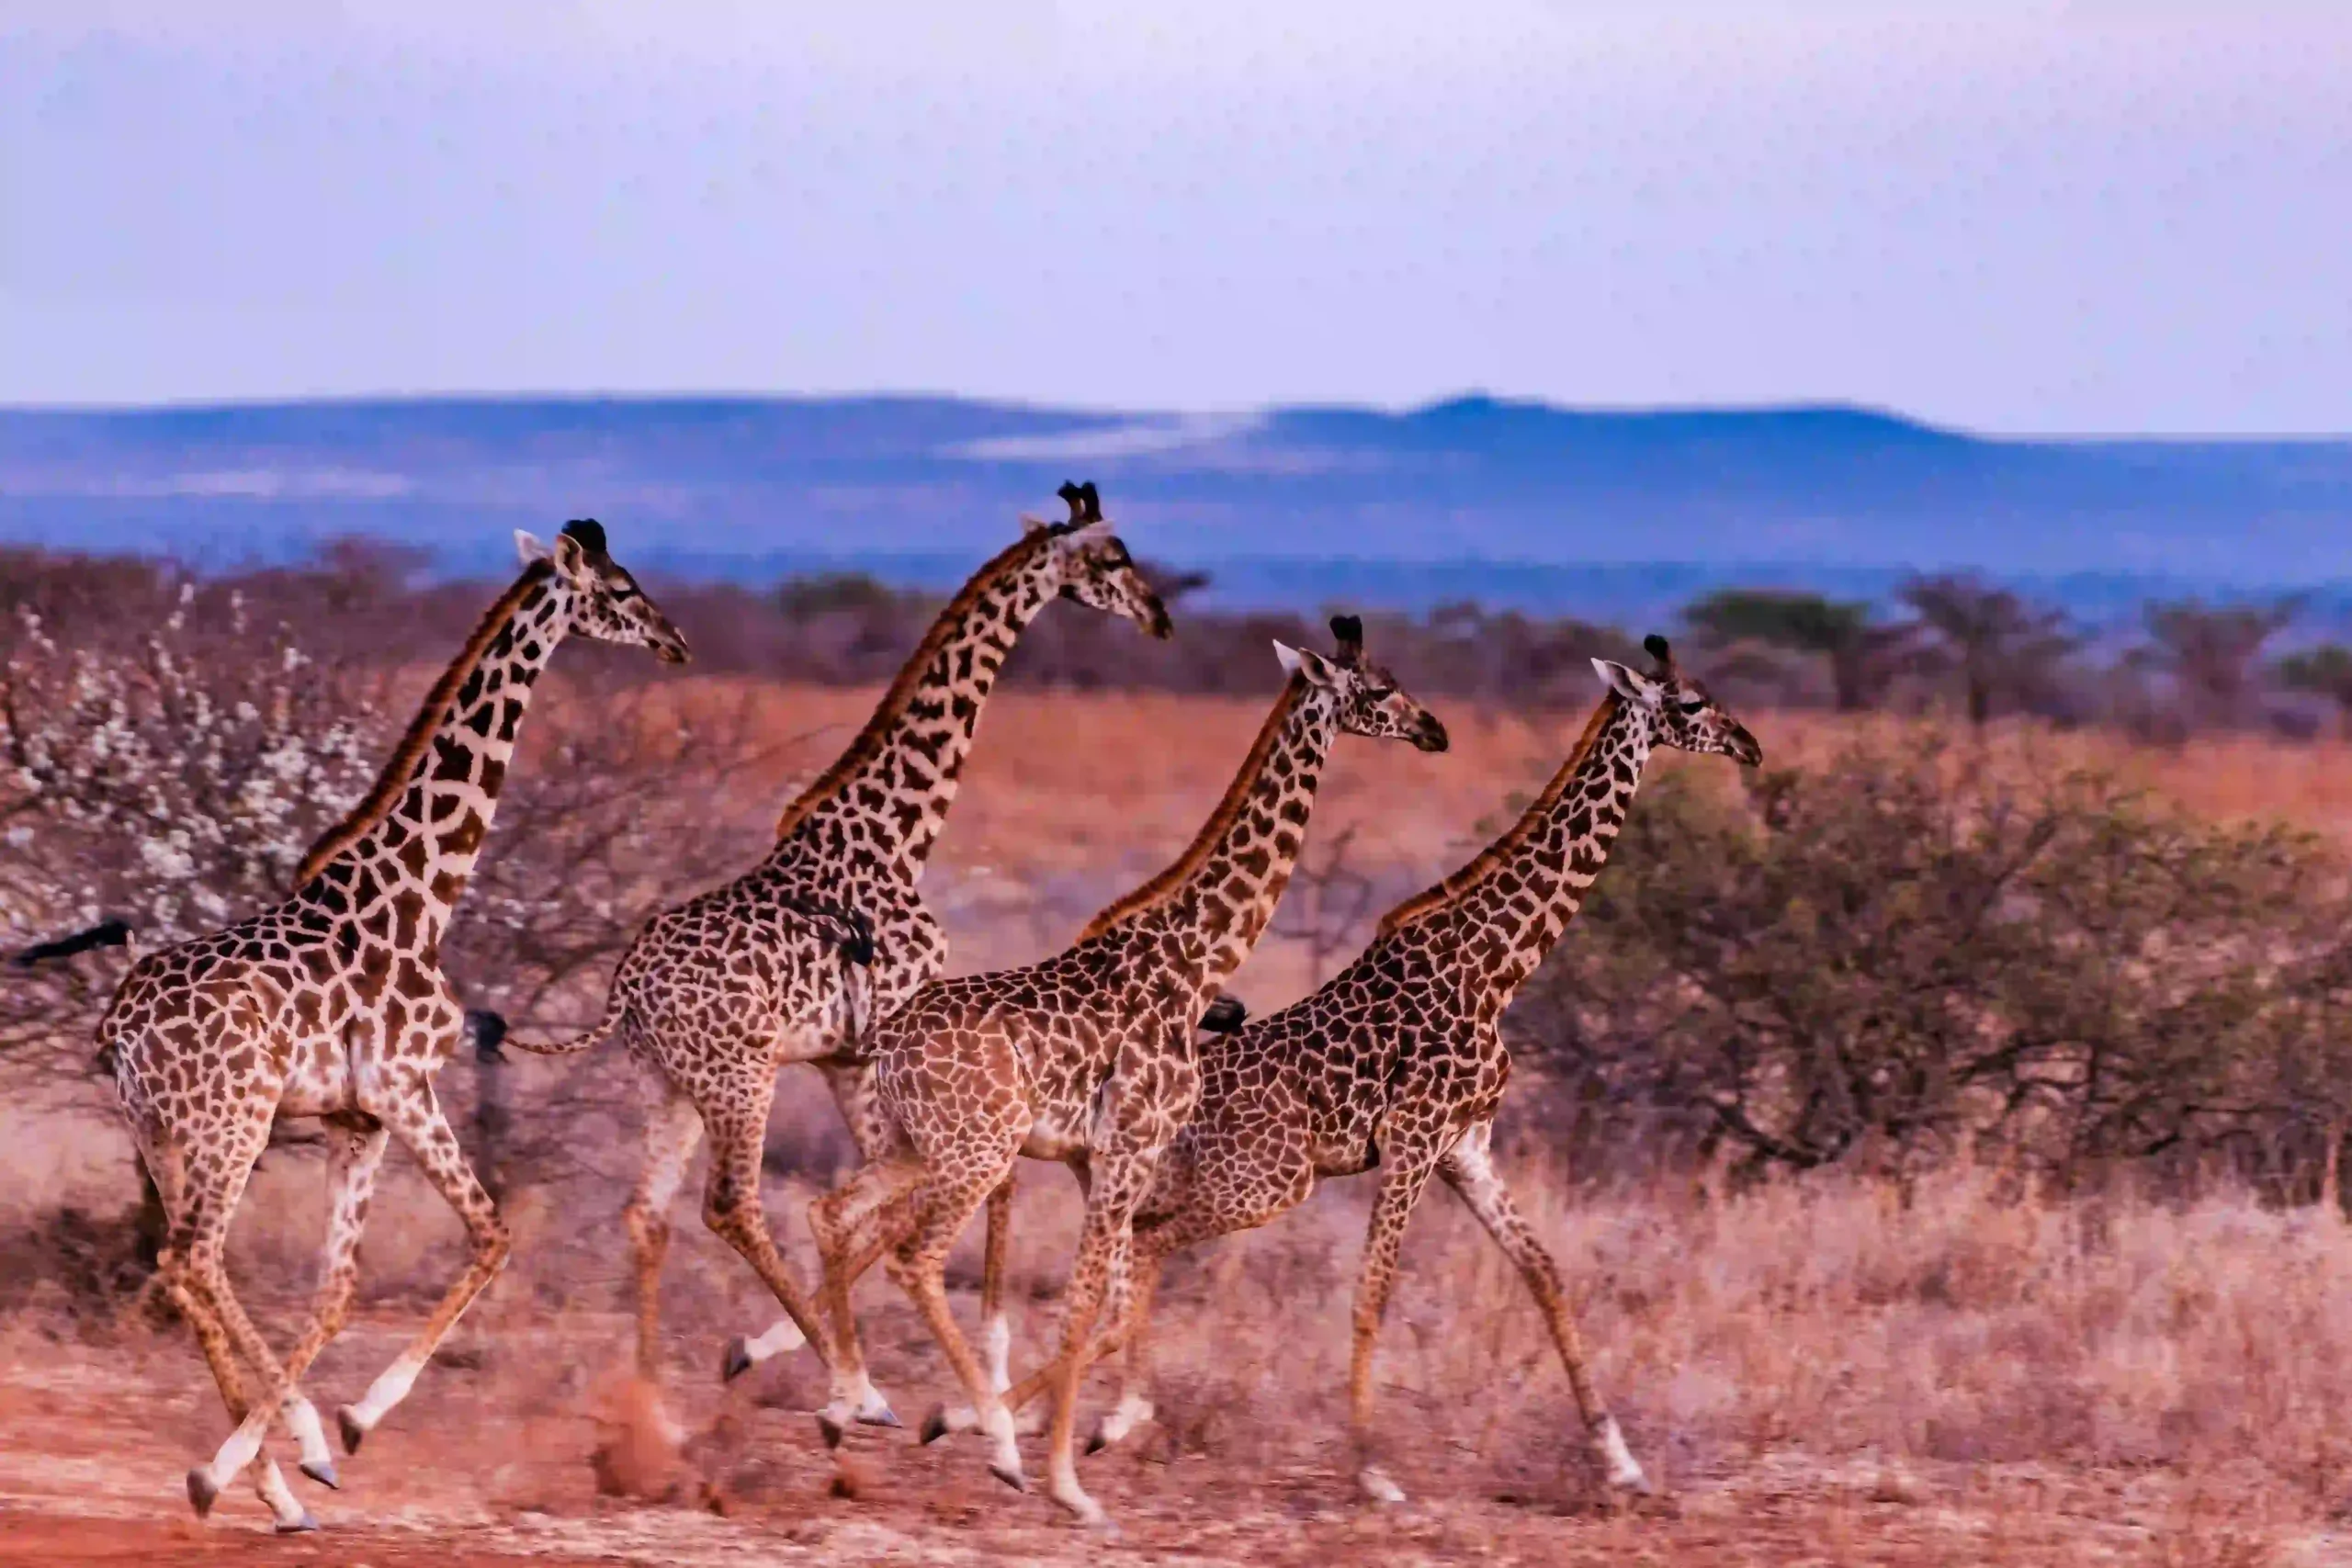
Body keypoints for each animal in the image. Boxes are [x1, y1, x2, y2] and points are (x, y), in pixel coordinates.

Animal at [93, 521, 689, 1529]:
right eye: (618, 588)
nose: (674, 641)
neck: (420, 896)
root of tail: (121, 1028)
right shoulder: (406, 1089)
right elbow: (491, 1235)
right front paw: (344, 1426)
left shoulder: (356, 1118)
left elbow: (340, 1286)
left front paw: (314, 1446)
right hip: (231, 1123)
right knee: (193, 1257)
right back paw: (250, 1466)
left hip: (161, 1133)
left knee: (188, 1264)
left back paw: (272, 1486)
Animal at [490, 483, 1173, 1421]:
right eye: (1110, 559)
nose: (1160, 616)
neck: (898, 834)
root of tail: (624, 991)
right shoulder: (886, 1039)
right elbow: (896, 1205)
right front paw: (826, 1363)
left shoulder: (849, 1059)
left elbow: (891, 1203)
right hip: (741, 1077)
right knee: (731, 1205)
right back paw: (846, 1384)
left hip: (665, 1082)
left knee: (645, 1211)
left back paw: (654, 1390)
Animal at [807, 614, 1450, 1528]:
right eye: (1382, 688)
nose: (1435, 729)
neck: (1197, 959)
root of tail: (887, 1043)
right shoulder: (1129, 1145)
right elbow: (1084, 1305)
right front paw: (1065, 1482)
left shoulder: (1100, 1155)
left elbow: (1107, 1299)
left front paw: (1065, 1445)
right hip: (978, 1151)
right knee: (914, 1257)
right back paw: (993, 1445)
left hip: (910, 1142)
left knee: (834, 1214)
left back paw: (850, 1403)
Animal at [962, 635, 1761, 1505]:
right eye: (1690, 704)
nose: (1751, 746)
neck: (1497, 967)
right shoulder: (1414, 1137)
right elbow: (1372, 1291)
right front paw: (1373, 1469)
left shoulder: (1467, 1145)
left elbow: (1546, 1274)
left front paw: (1623, 1463)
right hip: (1264, 1181)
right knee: (1128, 1252)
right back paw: (1022, 1420)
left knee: (1111, 1260)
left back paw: (1043, 1419)